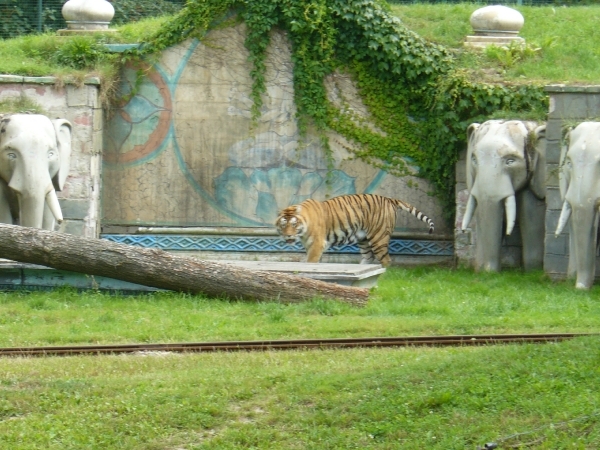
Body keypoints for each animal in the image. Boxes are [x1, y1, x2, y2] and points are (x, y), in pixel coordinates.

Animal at [274, 193, 434, 268]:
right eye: (283, 225)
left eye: (294, 224)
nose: (288, 236)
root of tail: (389, 199)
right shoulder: (311, 245)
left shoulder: (317, 244)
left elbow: (311, 261)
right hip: (363, 239)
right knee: (368, 257)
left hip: (379, 237)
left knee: (386, 260)